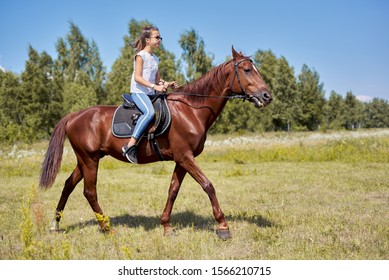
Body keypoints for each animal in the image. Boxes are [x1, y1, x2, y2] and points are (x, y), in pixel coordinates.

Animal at [38, 47, 270, 240]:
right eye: (247, 70)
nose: (267, 96)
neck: (191, 110)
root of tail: (74, 115)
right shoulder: (186, 157)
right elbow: (208, 185)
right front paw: (223, 226)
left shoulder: (181, 159)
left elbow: (173, 190)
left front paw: (166, 226)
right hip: (89, 160)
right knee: (89, 192)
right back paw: (106, 228)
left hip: (85, 160)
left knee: (68, 185)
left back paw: (55, 225)